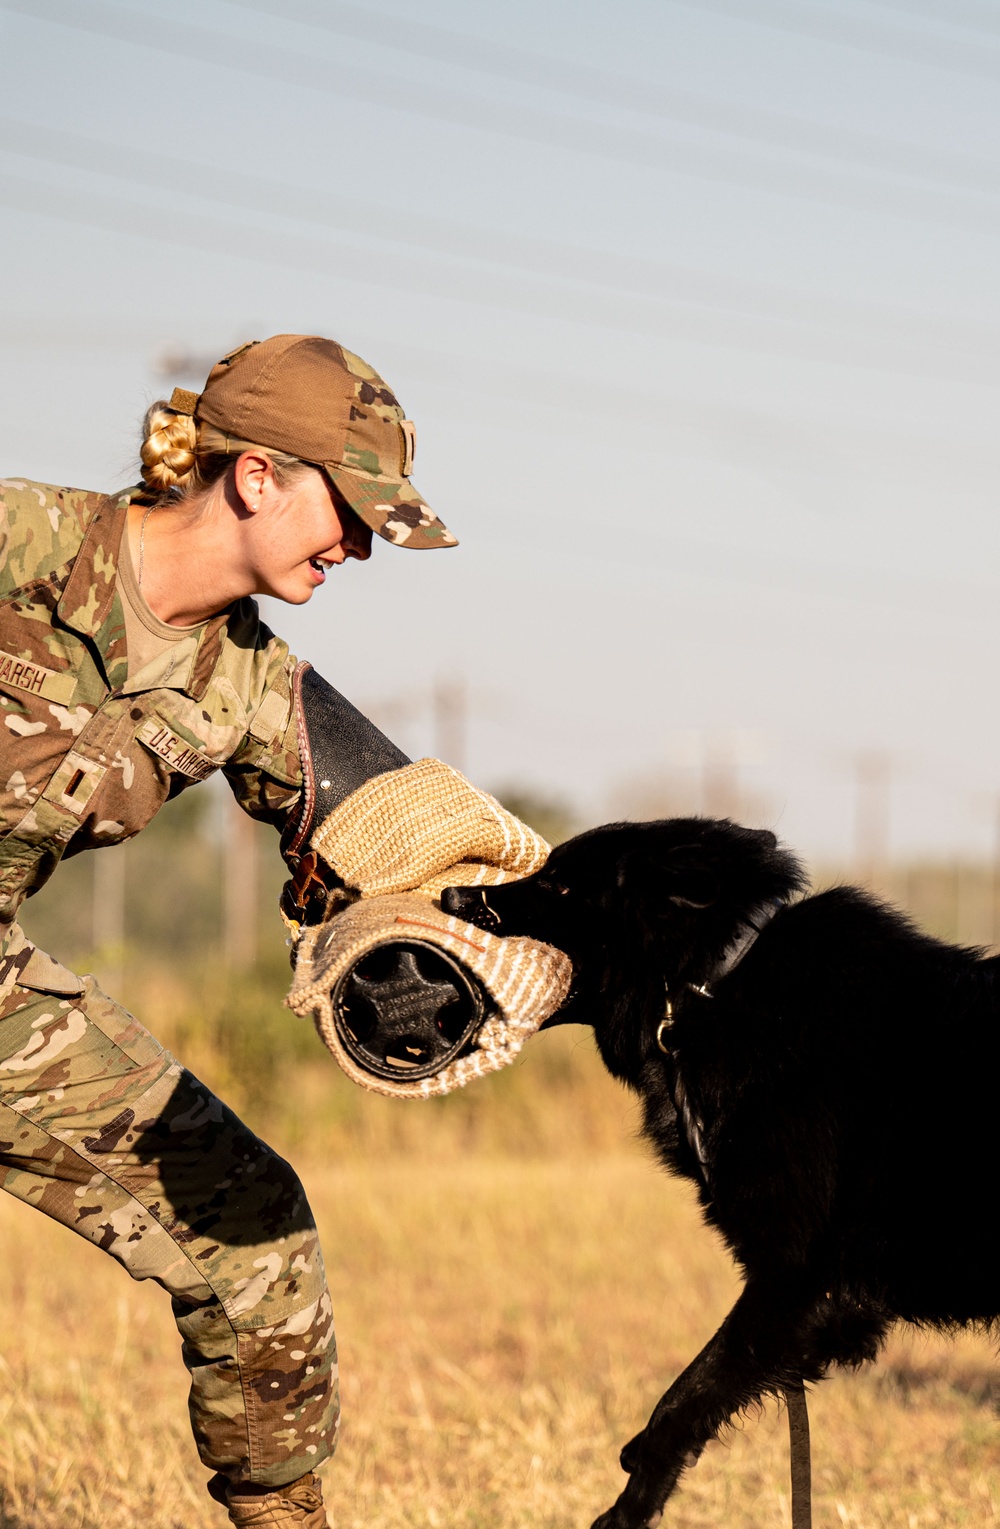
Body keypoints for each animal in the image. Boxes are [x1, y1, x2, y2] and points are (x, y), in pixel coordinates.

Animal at [446, 825, 1000, 1529]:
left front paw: (627, 1506)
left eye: (562, 886)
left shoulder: (800, 1285)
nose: (450, 895)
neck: (711, 991)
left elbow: (686, 1397)